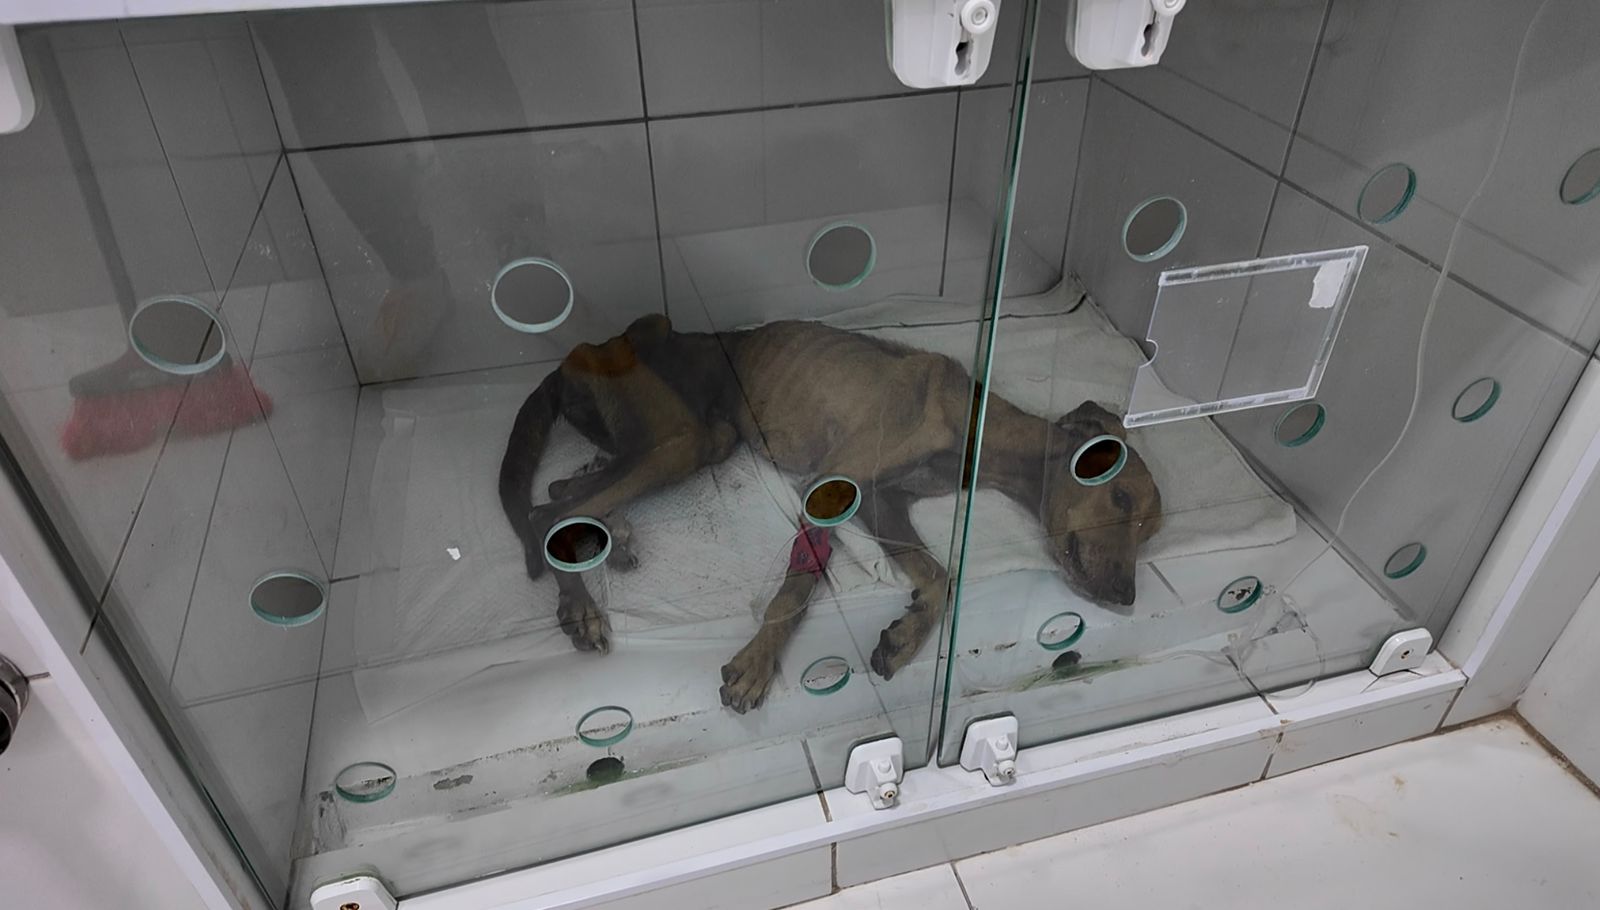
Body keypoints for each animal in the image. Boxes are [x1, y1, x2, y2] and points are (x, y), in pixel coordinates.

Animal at [499, 314, 1163, 712]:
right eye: (1120, 498)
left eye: (1148, 532)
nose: (1128, 597)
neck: (978, 426)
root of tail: (580, 353)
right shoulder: (830, 486)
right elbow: (797, 587)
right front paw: (758, 664)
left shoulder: (884, 502)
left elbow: (940, 577)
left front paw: (906, 635)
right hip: (679, 439)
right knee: (542, 515)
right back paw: (581, 605)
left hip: (692, 440)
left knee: (558, 490)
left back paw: (611, 536)